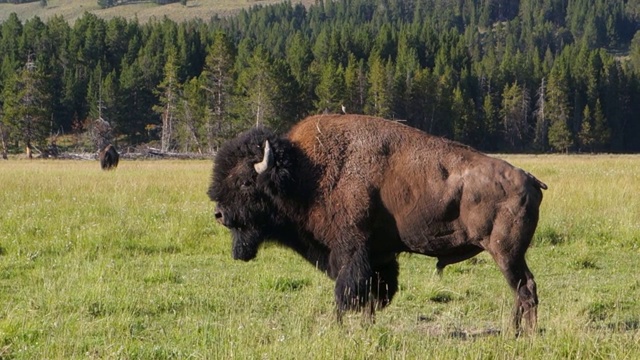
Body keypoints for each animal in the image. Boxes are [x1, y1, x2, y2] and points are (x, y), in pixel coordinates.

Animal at [208, 114, 548, 334]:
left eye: (246, 181)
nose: (220, 214)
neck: (307, 174)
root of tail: (529, 179)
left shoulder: (350, 251)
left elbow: (346, 292)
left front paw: (337, 328)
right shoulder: (378, 257)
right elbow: (373, 294)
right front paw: (366, 327)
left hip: (505, 253)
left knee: (524, 287)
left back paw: (524, 335)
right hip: (510, 255)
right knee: (522, 290)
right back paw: (515, 331)